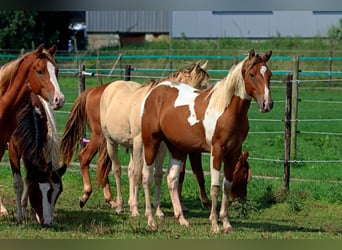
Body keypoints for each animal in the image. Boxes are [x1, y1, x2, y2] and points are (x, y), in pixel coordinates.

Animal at [60, 62, 210, 209]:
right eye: (202, 86)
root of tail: (94, 90)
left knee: (106, 165)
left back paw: (111, 199)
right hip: (101, 137)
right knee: (87, 158)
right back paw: (88, 195)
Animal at [141, 48, 272, 232]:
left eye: (270, 74)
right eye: (252, 74)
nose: (267, 104)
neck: (226, 110)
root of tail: (155, 91)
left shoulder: (233, 152)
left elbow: (226, 185)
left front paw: (226, 224)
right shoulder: (216, 151)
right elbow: (215, 187)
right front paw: (214, 224)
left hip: (176, 148)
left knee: (172, 178)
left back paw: (181, 219)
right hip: (151, 143)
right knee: (147, 177)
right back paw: (151, 220)